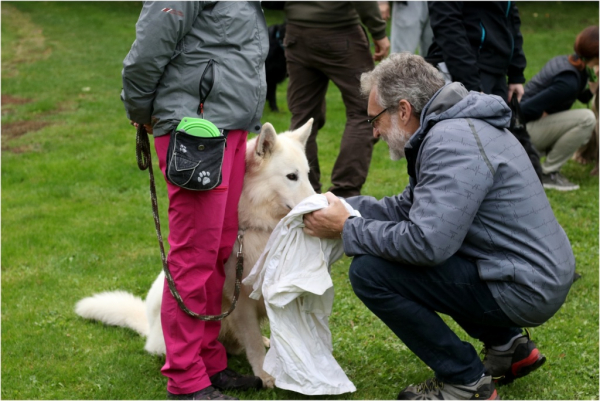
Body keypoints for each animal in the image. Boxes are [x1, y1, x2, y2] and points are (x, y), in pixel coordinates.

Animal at [76, 119, 314, 388]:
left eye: (307, 175)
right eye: (291, 177)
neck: (255, 225)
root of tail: (149, 330)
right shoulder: (240, 302)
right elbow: (252, 341)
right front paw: (265, 374)